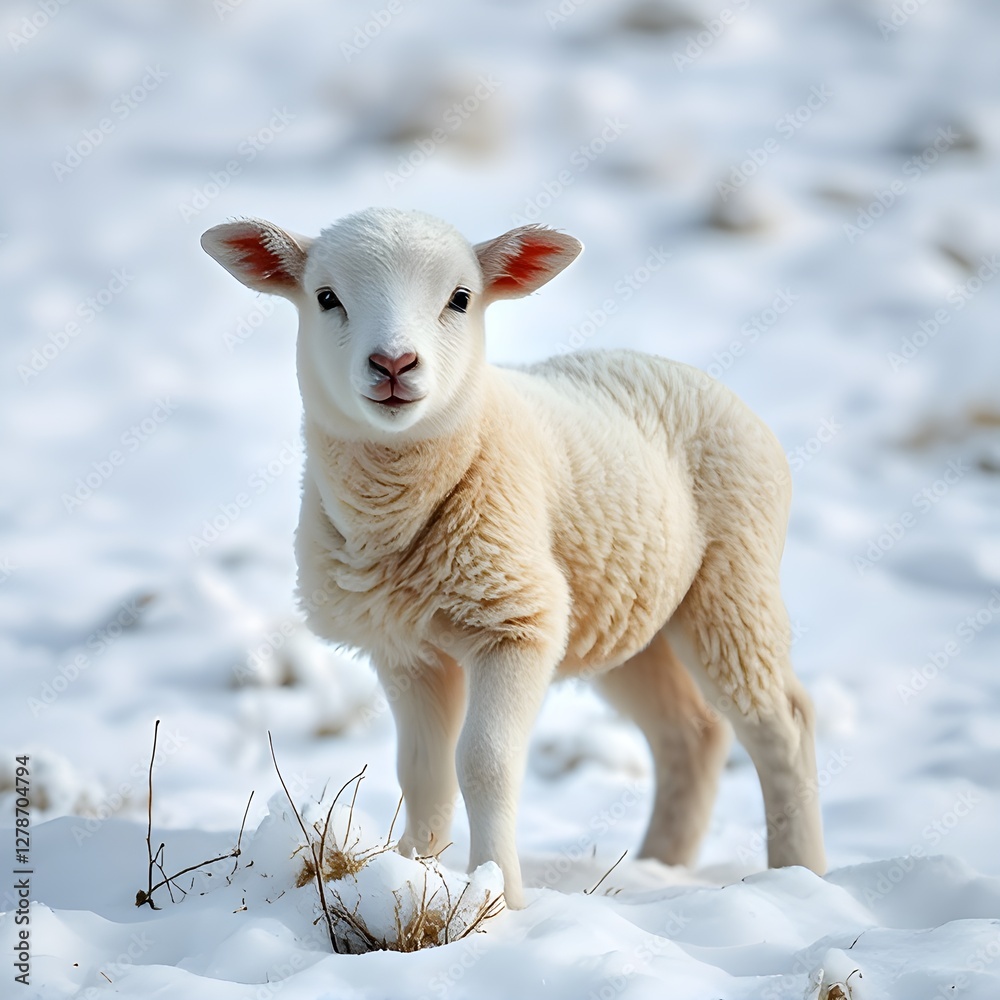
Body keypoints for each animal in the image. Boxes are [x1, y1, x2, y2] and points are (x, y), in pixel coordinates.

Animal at [201, 207, 827, 909]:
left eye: (460, 298)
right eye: (326, 297)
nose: (394, 363)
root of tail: (691, 374)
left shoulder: (517, 624)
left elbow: (485, 763)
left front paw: (498, 896)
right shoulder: (404, 648)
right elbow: (422, 771)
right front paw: (415, 874)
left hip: (733, 579)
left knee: (782, 724)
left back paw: (801, 874)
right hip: (632, 613)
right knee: (691, 733)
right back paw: (660, 867)